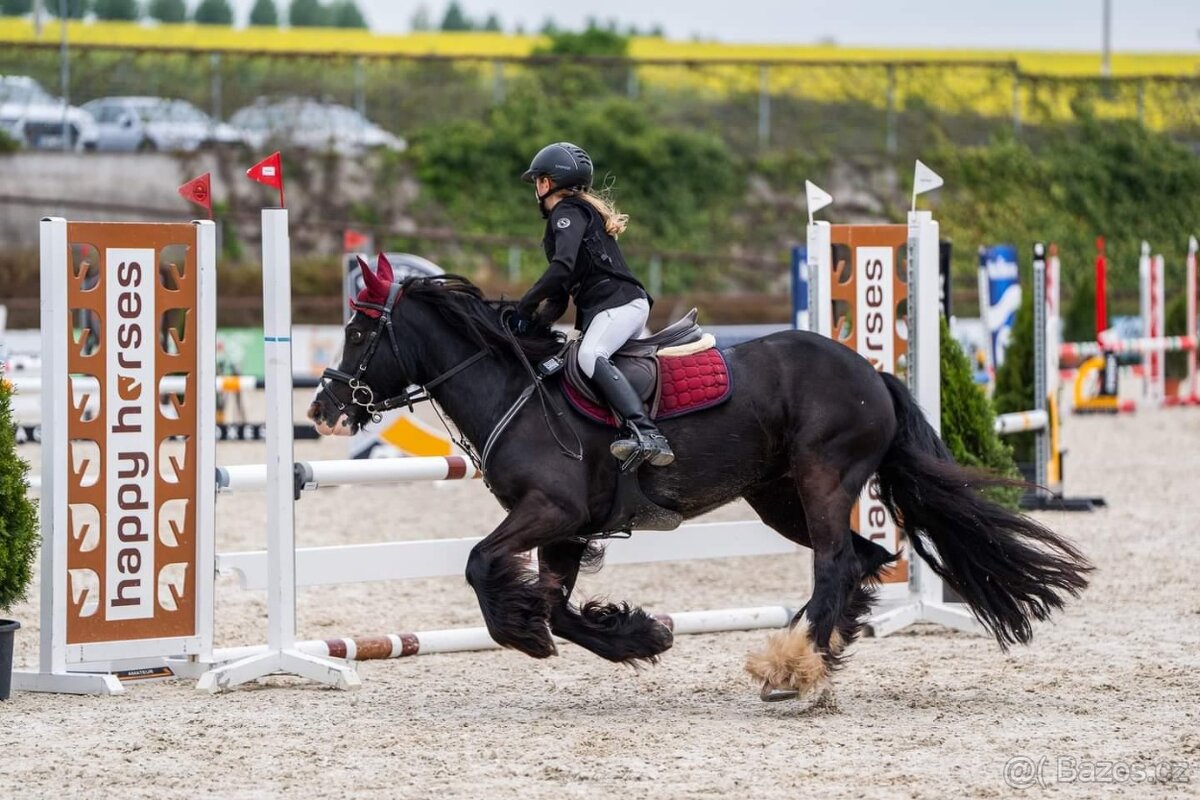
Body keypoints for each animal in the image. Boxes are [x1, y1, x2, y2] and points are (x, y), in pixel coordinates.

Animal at [308, 258, 1091, 703]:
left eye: (359, 332)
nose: (323, 410)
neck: (515, 388)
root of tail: (870, 371)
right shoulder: (569, 529)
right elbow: (559, 605)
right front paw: (638, 636)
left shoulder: (550, 511)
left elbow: (478, 563)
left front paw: (521, 632)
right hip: (779, 496)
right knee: (861, 559)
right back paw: (827, 647)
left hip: (822, 476)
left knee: (836, 561)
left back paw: (791, 667)